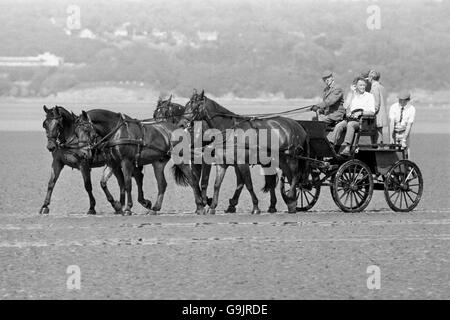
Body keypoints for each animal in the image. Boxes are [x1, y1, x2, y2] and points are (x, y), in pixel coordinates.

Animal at [178, 91, 312, 214]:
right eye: (187, 105)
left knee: (295, 176)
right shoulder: (222, 164)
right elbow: (217, 184)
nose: (181, 124)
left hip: (291, 158)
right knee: (287, 177)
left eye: (195, 106)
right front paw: (212, 207)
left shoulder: (242, 163)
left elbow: (248, 184)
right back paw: (290, 202)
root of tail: (298, 125)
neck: (229, 132)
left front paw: (256, 207)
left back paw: (290, 199)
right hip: (280, 160)